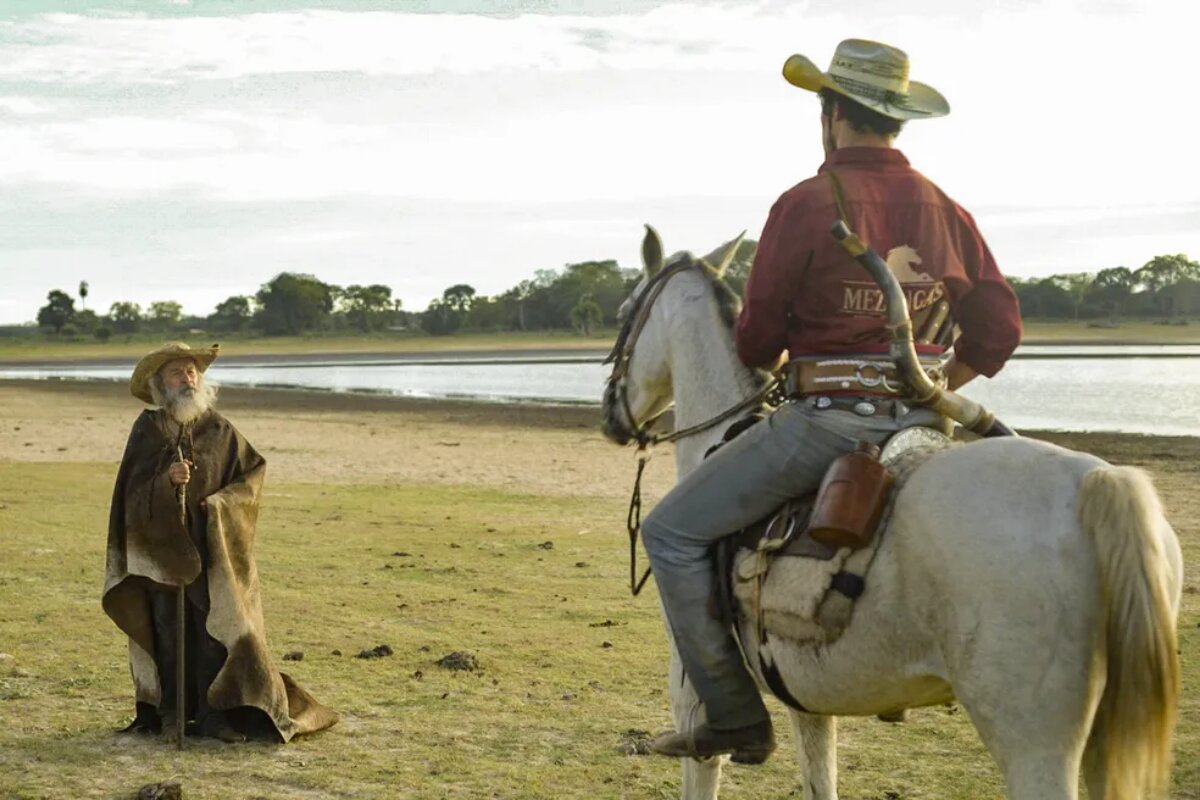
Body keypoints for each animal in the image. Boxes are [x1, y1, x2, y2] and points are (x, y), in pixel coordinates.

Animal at [604, 226, 1185, 800]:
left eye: (624, 310)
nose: (611, 415)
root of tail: (1096, 482)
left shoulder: (692, 698)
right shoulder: (807, 701)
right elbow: (821, 780)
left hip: (1033, 743)